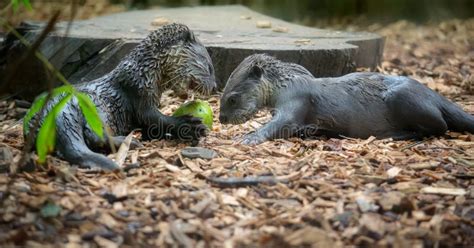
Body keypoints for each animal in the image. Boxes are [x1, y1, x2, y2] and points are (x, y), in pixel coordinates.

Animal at [25, 23, 218, 170]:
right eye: (209, 67)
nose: (215, 87)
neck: (145, 72)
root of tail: (56, 109)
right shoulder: (138, 93)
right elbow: (153, 118)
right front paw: (191, 125)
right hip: (98, 107)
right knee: (94, 135)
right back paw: (130, 143)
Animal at [219, 53, 474, 144]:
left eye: (232, 99)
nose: (221, 119)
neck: (286, 83)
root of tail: (434, 94)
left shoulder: (296, 98)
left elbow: (283, 123)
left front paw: (248, 137)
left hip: (402, 96)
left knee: (440, 126)